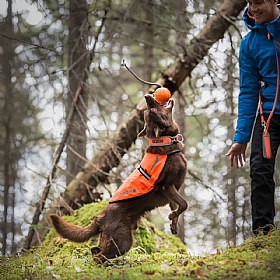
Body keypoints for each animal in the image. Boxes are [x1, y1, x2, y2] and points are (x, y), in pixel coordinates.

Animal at [49, 95, 188, 264]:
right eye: (151, 111)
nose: (147, 96)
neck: (166, 142)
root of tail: (99, 217)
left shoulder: (173, 191)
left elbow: (176, 206)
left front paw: (173, 223)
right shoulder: (167, 187)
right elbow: (183, 204)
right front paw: (172, 216)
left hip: (109, 238)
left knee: (94, 250)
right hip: (123, 240)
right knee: (99, 256)